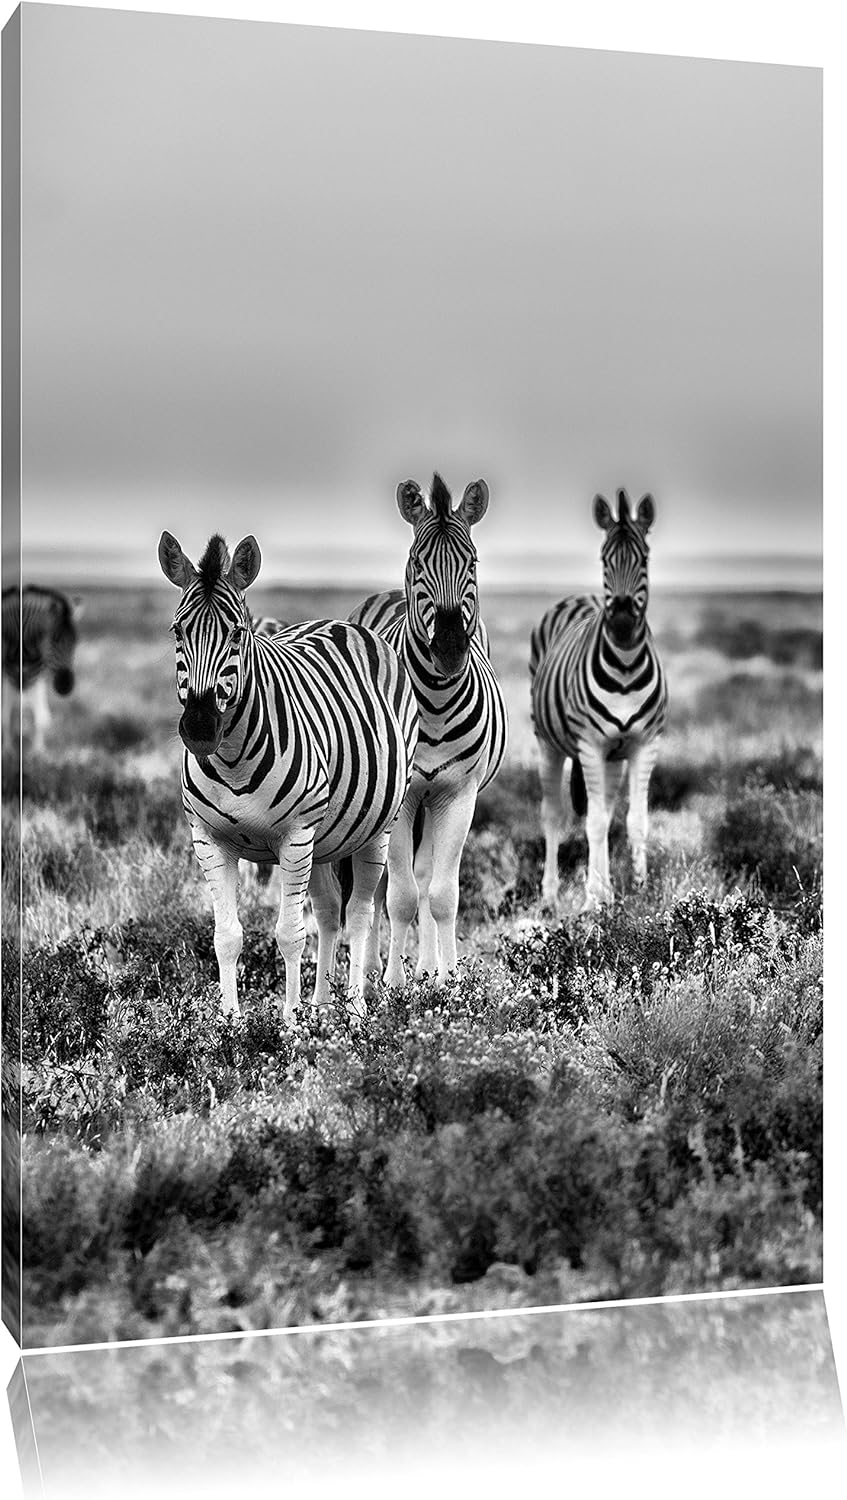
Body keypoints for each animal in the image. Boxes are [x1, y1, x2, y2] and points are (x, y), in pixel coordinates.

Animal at [1, 585, 82, 754]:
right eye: (53, 640)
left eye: (75, 641)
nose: (65, 686)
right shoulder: (7, 677)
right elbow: (5, 717)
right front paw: (7, 752)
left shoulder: (36, 677)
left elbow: (41, 718)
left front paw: (39, 753)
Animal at [158, 530, 418, 1022]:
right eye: (178, 631)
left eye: (238, 633)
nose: (200, 729)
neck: (233, 758)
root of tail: (340, 623)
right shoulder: (208, 839)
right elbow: (227, 936)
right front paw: (229, 1023)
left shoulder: (295, 836)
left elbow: (290, 934)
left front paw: (291, 1024)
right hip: (324, 839)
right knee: (330, 910)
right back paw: (322, 1004)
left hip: (375, 828)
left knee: (359, 914)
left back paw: (356, 1009)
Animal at [349, 473, 508, 989]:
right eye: (418, 561)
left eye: (472, 561)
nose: (452, 649)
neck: (435, 705)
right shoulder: (401, 800)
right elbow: (398, 895)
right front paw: (394, 986)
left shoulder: (458, 794)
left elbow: (441, 894)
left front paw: (448, 980)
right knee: (380, 886)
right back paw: (374, 968)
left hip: (432, 802)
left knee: (424, 878)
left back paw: (425, 966)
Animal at [530, 489, 668, 910]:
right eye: (604, 559)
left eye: (644, 558)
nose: (621, 621)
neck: (624, 666)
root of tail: (578, 597)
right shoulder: (590, 745)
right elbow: (590, 822)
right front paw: (592, 900)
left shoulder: (644, 744)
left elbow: (633, 820)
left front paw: (639, 890)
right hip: (548, 742)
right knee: (554, 815)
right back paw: (551, 895)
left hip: (613, 758)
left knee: (605, 813)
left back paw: (605, 888)